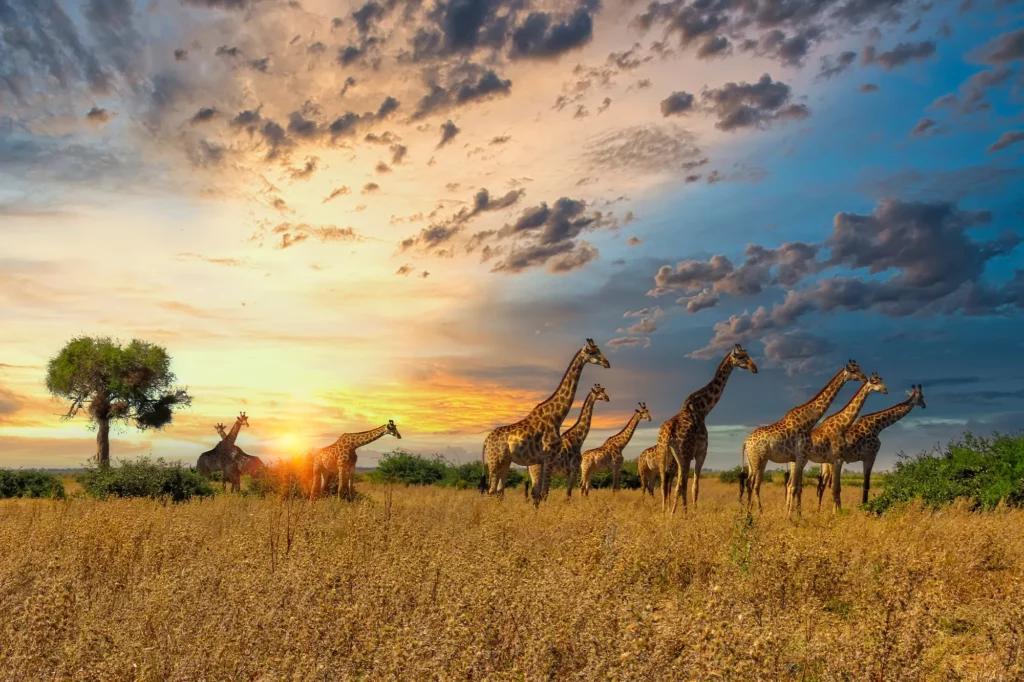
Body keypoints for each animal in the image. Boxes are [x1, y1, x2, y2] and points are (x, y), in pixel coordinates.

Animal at [479, 337, 606, 501]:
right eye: (592, 352)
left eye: (599, 350)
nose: (607, 363)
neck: (557, 417)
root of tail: (486, 441)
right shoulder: (551, 458)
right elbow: (545, 493)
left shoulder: (542, 460)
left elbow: (539, 494)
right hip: (494, 461)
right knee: (491, 490)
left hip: (506, 462)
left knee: (499, 491)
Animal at [655, 346, 761, 509]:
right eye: (741, 357)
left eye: (747, 354)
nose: (754, 368)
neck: (703, 409)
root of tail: (668, 434)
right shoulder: (701, 452)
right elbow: (695, 486)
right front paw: (692, 512)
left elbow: (688, 486)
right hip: (683, 455)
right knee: (679, 484)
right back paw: (674, 514)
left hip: (663, 456)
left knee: (664, 485)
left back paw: (665, 512)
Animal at [741, 358, 868, 512]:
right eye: (854, 370)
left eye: (859, 368)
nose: (865, 378)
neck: (809, 420)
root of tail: (746, 442)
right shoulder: (801, 456)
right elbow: (795, 487)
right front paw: (792, 515)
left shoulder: (797, 458)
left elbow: (795, 487)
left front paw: (794, 513)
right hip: (757, 459)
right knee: (752, 483)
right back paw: (756, 512)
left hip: (755, 460)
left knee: (752, 483)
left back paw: (750, 512)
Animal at [806, 372, 888, 509]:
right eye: (875, 382)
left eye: (882, 381)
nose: (886, 390)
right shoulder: (839, 459)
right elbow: (836, 488)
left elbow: (835, 488)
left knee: (819, 486)